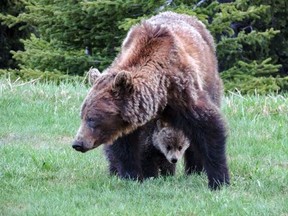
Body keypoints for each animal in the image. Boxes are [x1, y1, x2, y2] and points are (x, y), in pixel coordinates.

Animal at [73, 11, 231, 189]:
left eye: (92, 119)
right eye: (82, 116)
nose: (78, 143)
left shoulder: (181, 92)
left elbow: (208, 128)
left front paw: (219, 180)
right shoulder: (135, 116)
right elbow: (128, 146)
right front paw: (132, 175)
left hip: (210, 81)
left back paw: (194, 170)